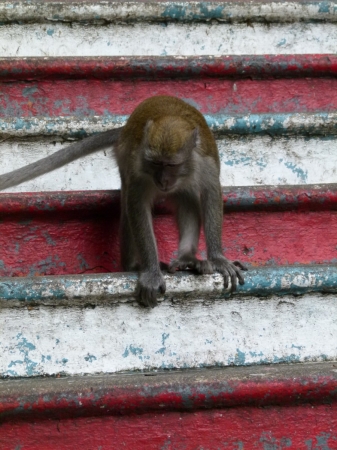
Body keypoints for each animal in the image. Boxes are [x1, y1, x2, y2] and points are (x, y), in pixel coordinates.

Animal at [0, 95, 245, 308]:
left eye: (171, 165)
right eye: (155, 163)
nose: (162, 180)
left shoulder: (206, 165)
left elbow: (211, 195)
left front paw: (218, 258)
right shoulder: (138, 169)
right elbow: (136, 205)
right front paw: (150, 273)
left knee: (187, 199)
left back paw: (187, 258)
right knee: (129, 205)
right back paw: (133, 265)